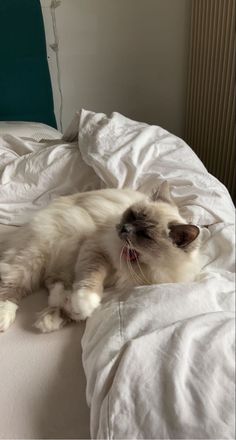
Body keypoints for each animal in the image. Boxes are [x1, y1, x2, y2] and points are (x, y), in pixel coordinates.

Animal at [0, 183, 201, 334]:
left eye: (145, 235)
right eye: (132, 215)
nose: (124, 228)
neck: (137, 261)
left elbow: (77, 312)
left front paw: (68, 312)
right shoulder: (97, 249)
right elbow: (90, 278)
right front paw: (85, 301)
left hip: (58, 264)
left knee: (53, 282)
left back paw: (54, 309)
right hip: (37, 255)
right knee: (12, 286)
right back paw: (4, 316)